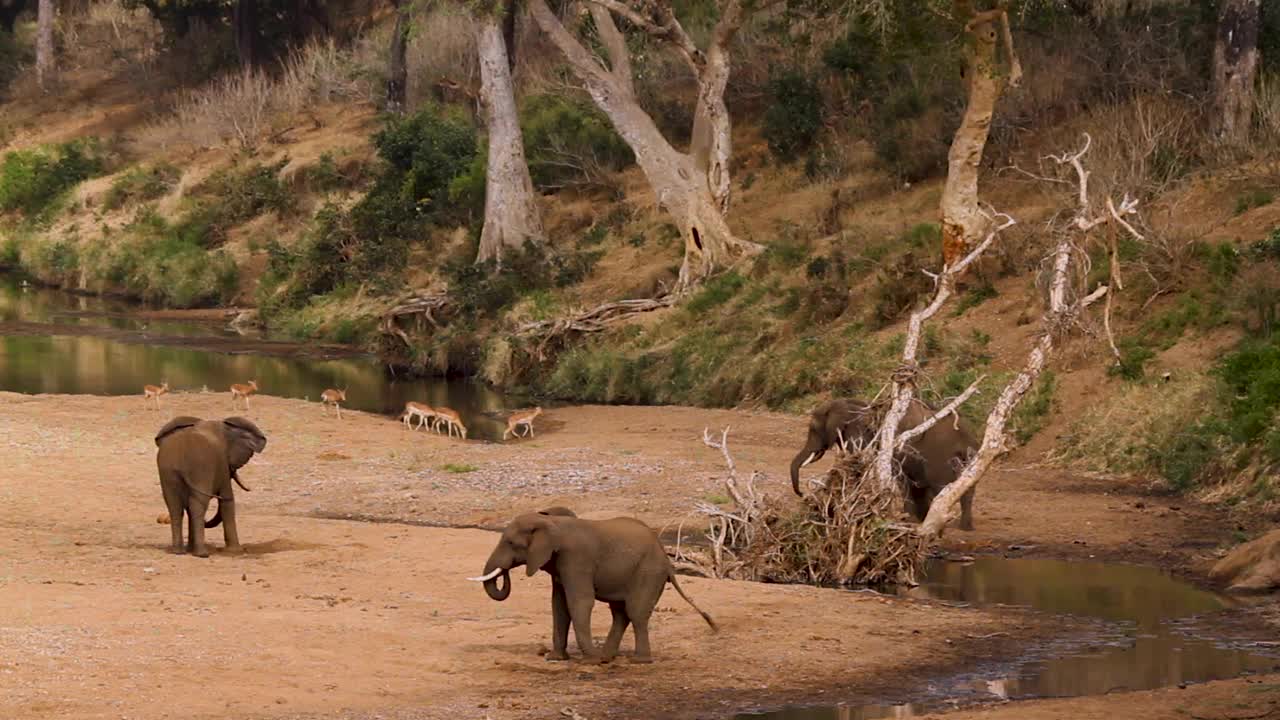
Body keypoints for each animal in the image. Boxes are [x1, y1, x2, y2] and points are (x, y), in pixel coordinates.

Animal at [153, 415, 266, 556]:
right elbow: (228, 500)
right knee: (197, 505)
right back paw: (202, 554)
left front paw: (190, 549)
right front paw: (235, 551)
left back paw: (178, 552)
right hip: (200, 468)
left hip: (168, 472)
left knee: (175, 507)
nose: (250, 488)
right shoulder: (221, 465)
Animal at [471, 504, 721, 661]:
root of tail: (667, 560)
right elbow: (559, 605)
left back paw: (636, 661)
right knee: (620, 613)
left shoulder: (577, 559)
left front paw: (588, 659)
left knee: (636, 612)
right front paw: (556, 659)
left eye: (511, 543)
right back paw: (607, 658)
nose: (504, 573)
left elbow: (580, 602)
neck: (551, 521)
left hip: (649, 572)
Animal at [788, 397, 977, 527]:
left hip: (938, 457)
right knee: (967, 486)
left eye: (813, 429)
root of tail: (965, 435)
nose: (802, 494)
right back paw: (964, 527)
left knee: (939, 485)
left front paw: (908, 520)